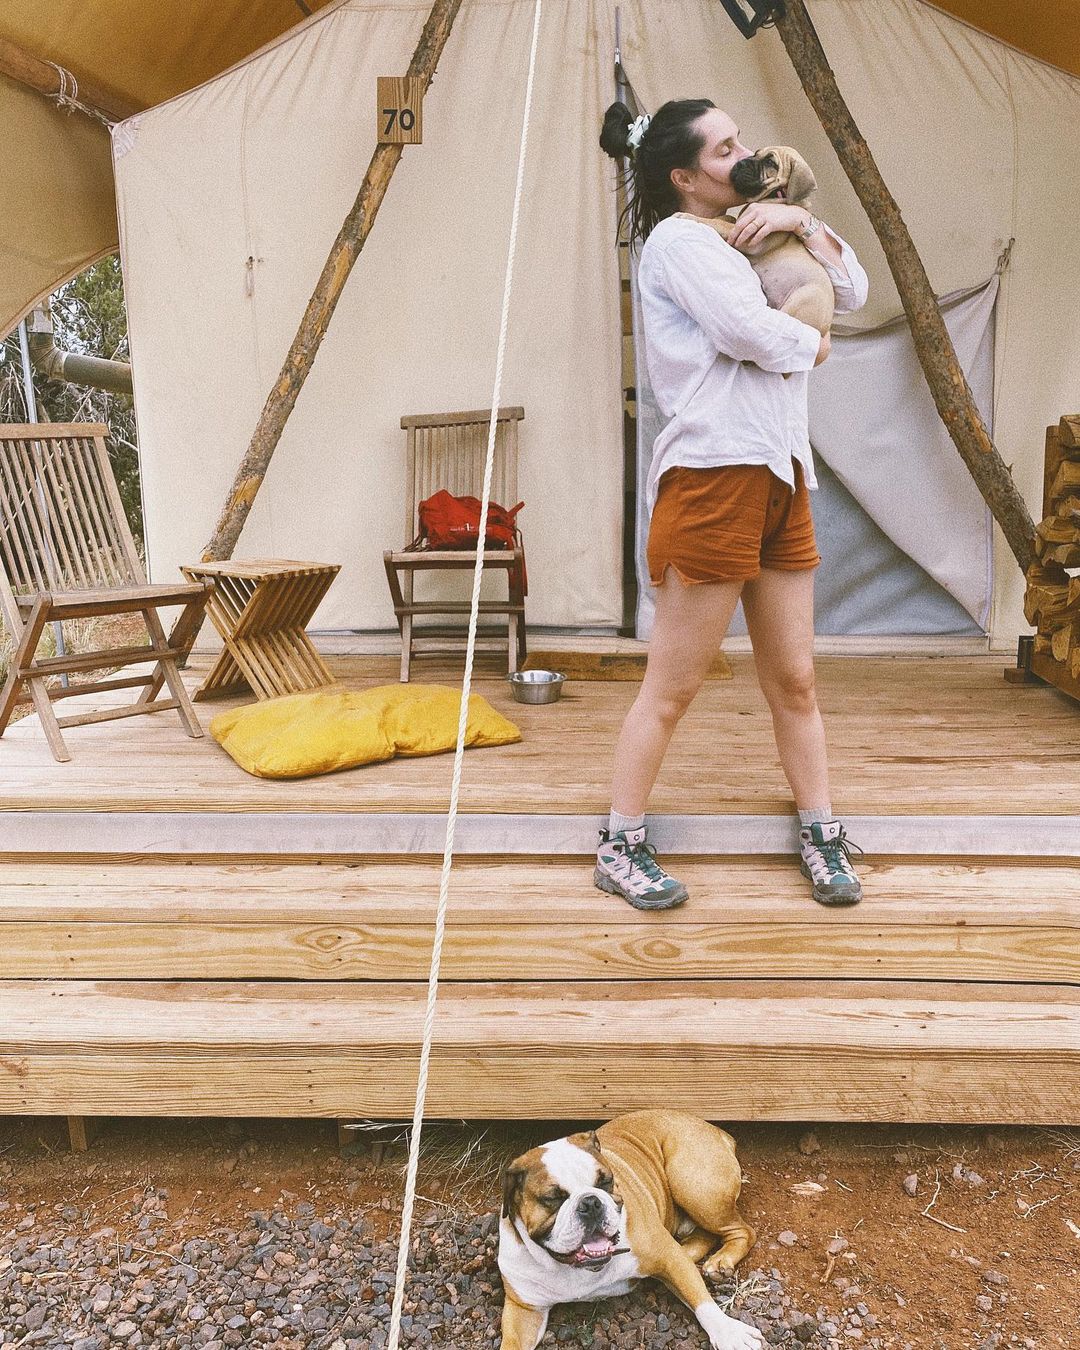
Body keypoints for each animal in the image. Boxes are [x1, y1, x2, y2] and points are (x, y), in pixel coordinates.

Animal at [496, 1107, 761, 1350]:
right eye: (552, 1198)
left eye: (605, 1181)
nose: (590, 1203)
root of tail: (715, 1129)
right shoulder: (524, 1310)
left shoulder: (670, 1260)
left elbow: (702, 1301)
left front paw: (729, 1333)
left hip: (695, 1187)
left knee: (743, 1230)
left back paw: (722, 1260)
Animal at [675, 144, 837, 334]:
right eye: (755, 153)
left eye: (770, 162)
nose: (740, 163)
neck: (775, 195)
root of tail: (824, 328)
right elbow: (727, 218)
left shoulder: (747, 235)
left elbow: (719, 223)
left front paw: (688, 215)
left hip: (799, 302)